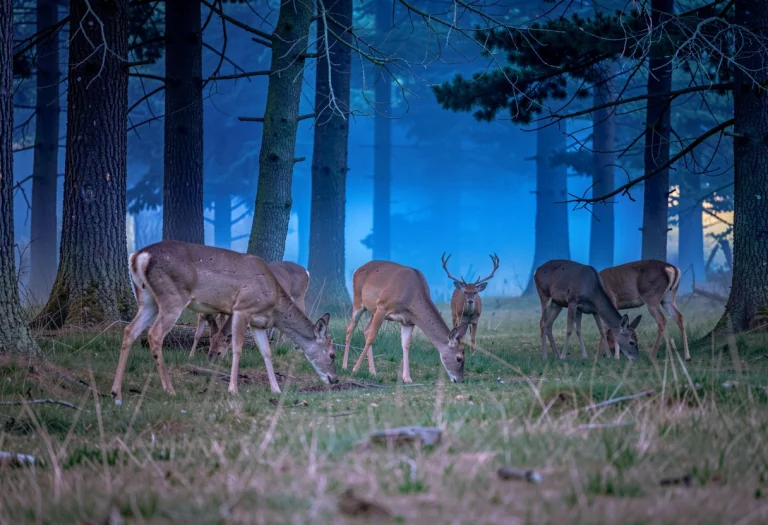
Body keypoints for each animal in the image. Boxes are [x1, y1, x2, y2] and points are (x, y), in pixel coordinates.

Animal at [110, 240, 338, 405]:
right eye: (332, 354)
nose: (334, 379)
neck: (273, 303)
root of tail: (139, 256)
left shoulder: (257, 322)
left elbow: (266, 352)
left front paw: (276, 389)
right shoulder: (242, 308)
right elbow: (237, 348)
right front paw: (233, 389)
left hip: (147, 299)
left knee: (130, 330)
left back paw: (116, 393)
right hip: (172, 296)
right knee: (154, 334)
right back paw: (170, 389)